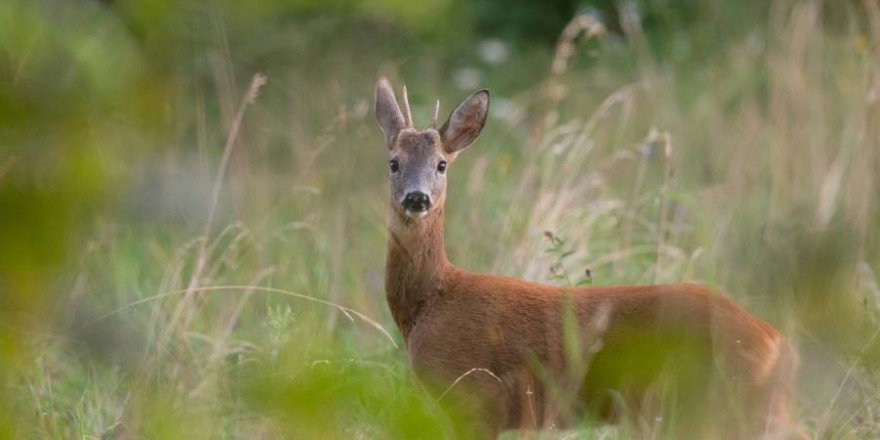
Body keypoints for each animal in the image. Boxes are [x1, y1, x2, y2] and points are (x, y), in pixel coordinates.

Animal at [374, 77, 808, 438]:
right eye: (393, 163)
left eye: (441, 165)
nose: (417, 198)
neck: (428, 303)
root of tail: (775, 342)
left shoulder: (477, 400)